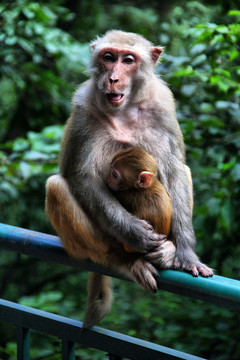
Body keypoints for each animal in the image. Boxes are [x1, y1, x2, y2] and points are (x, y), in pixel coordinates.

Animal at [45, 30, 214, 326]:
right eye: (108, 57)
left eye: (128, 60)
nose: (113, 78)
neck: (123, 109)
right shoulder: (83, 106)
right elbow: (81, 176)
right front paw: (134, 231)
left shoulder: (163, 104)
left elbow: (175, 168)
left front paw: (185, 253)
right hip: (105, 241)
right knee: (56, 187)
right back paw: (121, 261)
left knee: (184, 171)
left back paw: (168, 250)